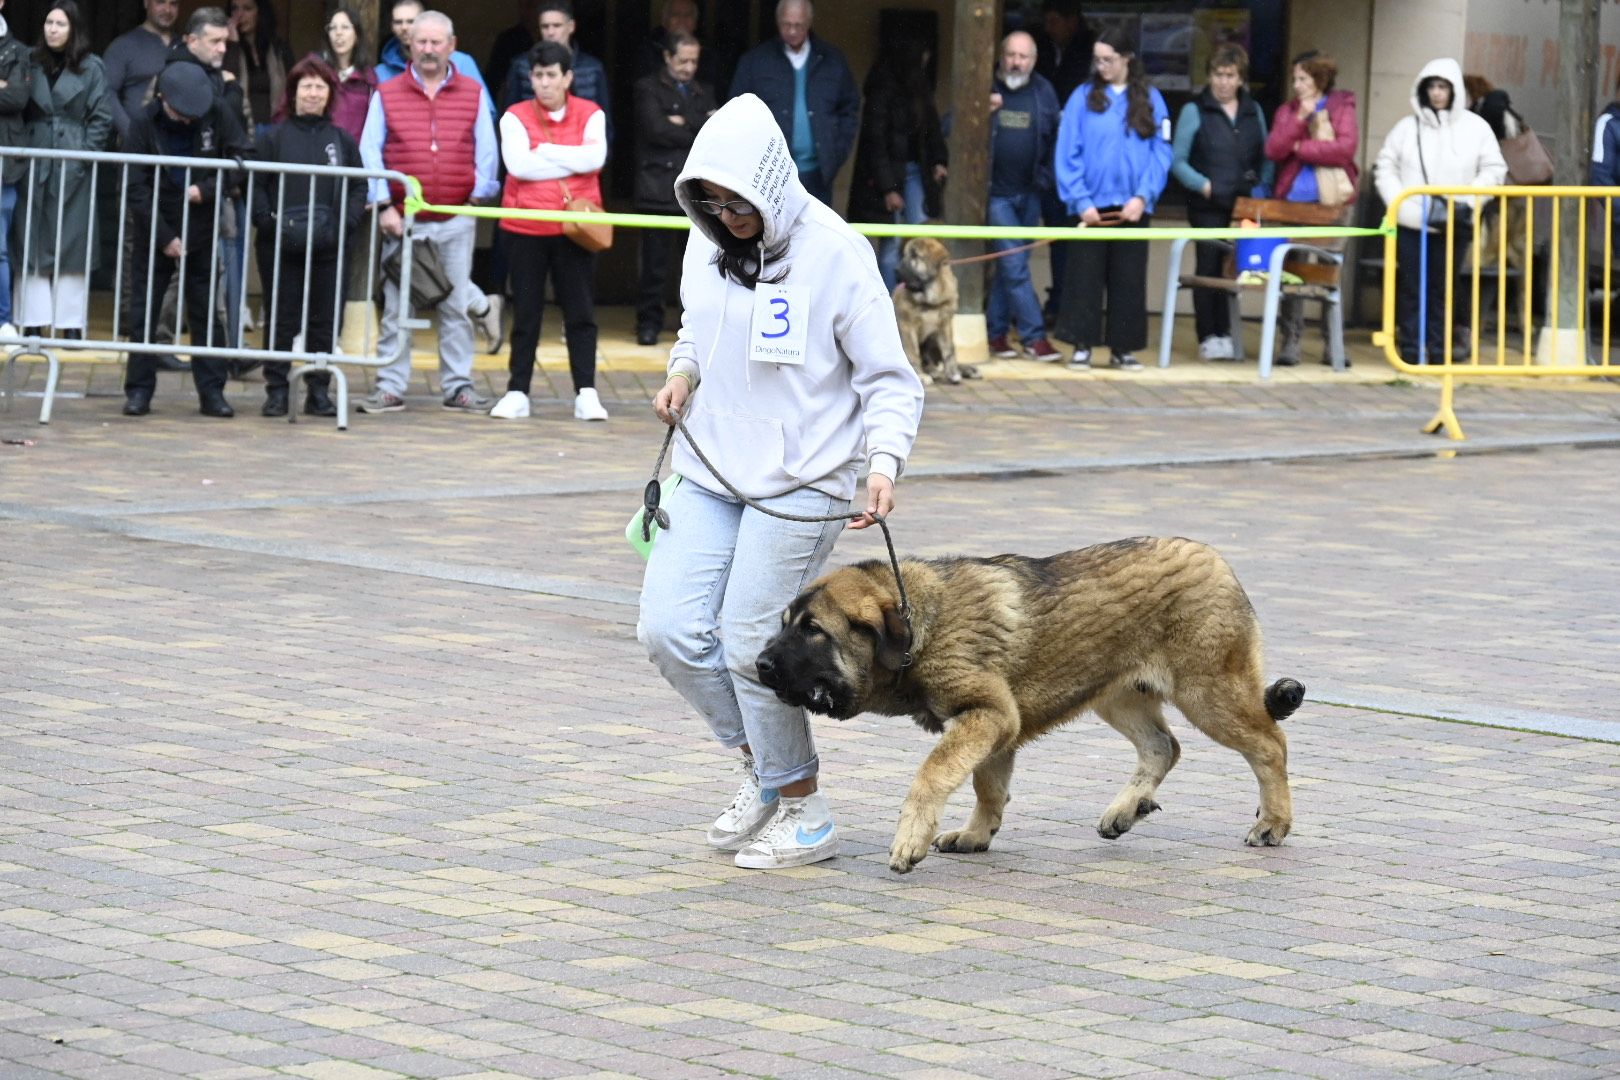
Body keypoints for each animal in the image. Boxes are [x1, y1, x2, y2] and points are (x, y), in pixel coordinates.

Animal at [754, 537, 1302, 874]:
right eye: (785, 625)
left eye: (813, 631)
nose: (758, 664)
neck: (922, 626)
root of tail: (1218, 561)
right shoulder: (996, 726)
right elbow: (987, 787)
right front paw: (977, 834)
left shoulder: (988, 715)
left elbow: (933, 774)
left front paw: (910, 837)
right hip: (1119, 696)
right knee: (1163, 747)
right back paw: (1126, 810)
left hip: (1207, 693)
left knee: (1270, 744)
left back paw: (1273, 822)